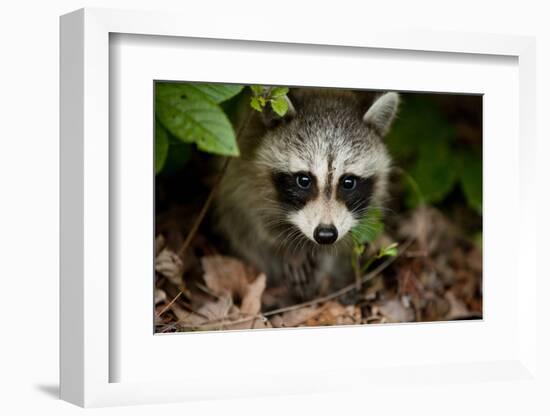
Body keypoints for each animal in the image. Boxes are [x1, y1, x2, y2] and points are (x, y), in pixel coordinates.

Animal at [213, 88, 398, 302]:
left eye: (348, 182)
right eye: (303, 180)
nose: (325, 235)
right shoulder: (247, 172)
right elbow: (258, 216)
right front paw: (291, 249)